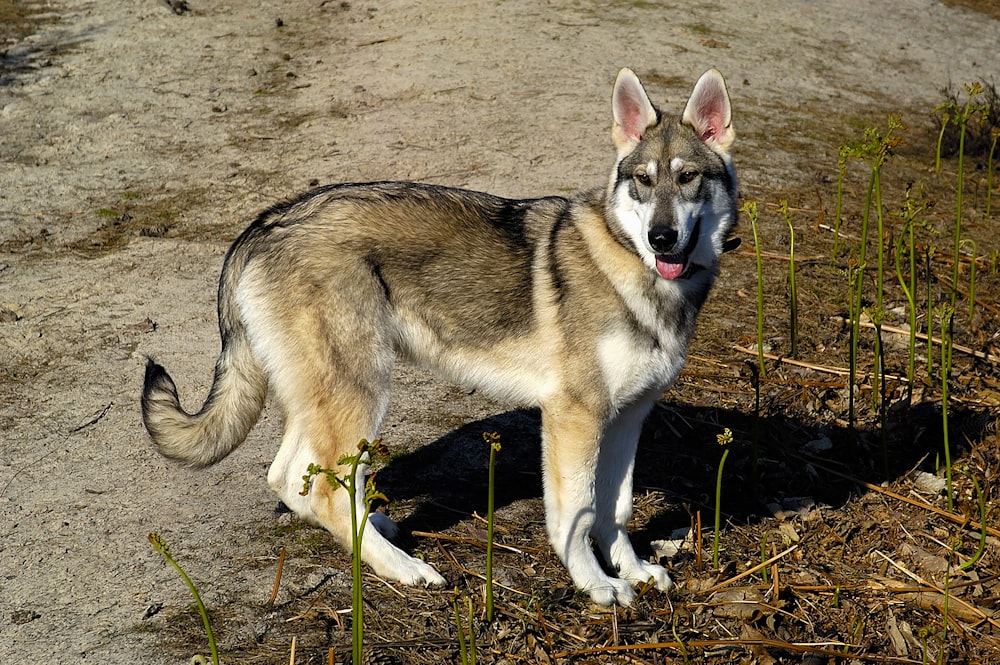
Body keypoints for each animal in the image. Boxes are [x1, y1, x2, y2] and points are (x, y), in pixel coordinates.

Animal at [143, 68, 736, 608]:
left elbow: (616, 509)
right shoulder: (576, 417)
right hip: (362, 396)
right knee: (329, 493)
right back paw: (406, 569)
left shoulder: (628, 418)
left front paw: (634, 571)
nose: (662, 237)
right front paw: (596, 585)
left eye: (688, 178)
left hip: (324, 402)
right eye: (643, 181)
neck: (634, 268)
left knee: (293, 481)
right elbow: (578, 515)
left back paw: (378, 531)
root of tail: (264, 222)